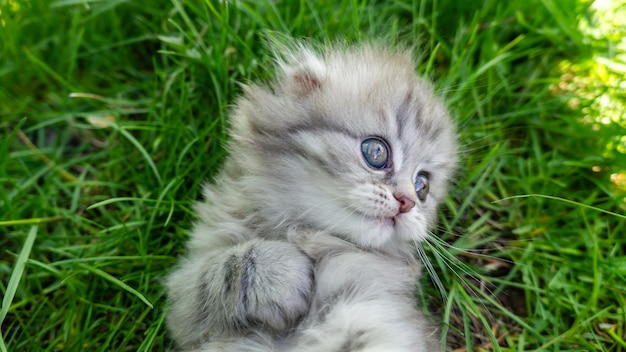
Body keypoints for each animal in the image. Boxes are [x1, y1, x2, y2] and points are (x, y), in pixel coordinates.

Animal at [165, 43, 458, 352]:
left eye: (422, 185)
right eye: (376, 152)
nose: (407, 202)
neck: (319, 238)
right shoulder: (183, 299)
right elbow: (222, 267)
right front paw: (285, 276)